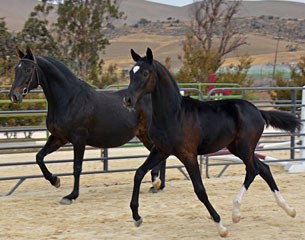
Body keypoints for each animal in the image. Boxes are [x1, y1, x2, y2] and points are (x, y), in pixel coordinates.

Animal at [9, 47, 165, 204]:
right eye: (16, 69)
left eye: (28, 69)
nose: (14, 96)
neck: (70, 99)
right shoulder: (58, 138)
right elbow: (39, 157)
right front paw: (55, 180)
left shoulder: (79, 140)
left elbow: (77, 167)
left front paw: (71, 196)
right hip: (143, 135)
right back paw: (158, 186)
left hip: (148, 135)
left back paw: (156, 183)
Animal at [123, 47, 300, 237]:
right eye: (131, 73)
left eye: (145, 73)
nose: (127, 100)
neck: (173, 114)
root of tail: (258, 111)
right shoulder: (160, 150)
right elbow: (139, 173)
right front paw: (136, 217)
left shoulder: (188, 155)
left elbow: (200, 190)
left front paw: (220, 226)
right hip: (238, 148)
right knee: (264, 169)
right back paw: (289, 210)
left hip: (245, 148)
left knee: (253, 170)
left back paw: (236, 213)